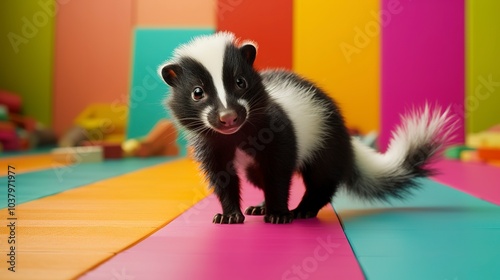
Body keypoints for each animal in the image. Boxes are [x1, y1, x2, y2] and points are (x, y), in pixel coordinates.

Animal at [158, 32, 456, 225]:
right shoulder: (210, 144)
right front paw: (230, 215)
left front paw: (279, 214)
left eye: (240, 82)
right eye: (197, 92)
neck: (238, 136)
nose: (228, 116)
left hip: (324, 140)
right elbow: (223, 178)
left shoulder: (276, 130)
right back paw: (260, 206)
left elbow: (279, 172)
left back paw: (303, 209)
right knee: (260, 177)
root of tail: (346, 137)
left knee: (322, 178)